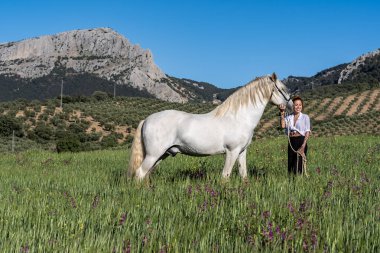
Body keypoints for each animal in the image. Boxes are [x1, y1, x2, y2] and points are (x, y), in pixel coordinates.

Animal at [127, 73, 290, 180]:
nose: (291, 105)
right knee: (140, 173)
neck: (239, 118)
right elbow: (225, 176)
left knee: (146, 174)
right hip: (153, 155)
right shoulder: (232, 151)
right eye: (283, 88)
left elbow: (244, 175)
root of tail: (147, 119)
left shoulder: (242, 152)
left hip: (162, 155)